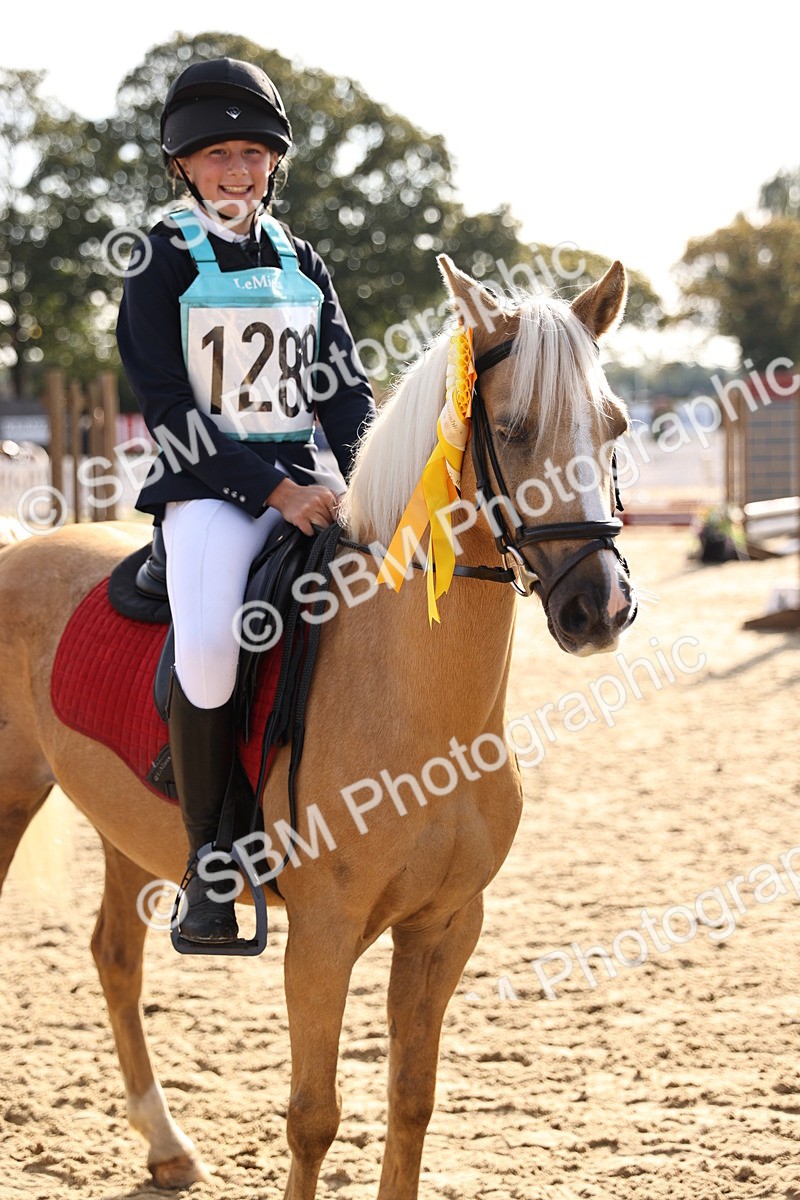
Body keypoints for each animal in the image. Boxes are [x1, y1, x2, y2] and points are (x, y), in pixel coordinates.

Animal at [0, 255, 635, 1199]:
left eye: (615, 426)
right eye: (515, 430)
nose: (601, 607)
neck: (424, 709)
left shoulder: (447, 926)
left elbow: (412, 1101)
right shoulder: (323, 938)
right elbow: (314, 1117)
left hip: (124, 832)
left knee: (115, 955)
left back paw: (167, 1146)